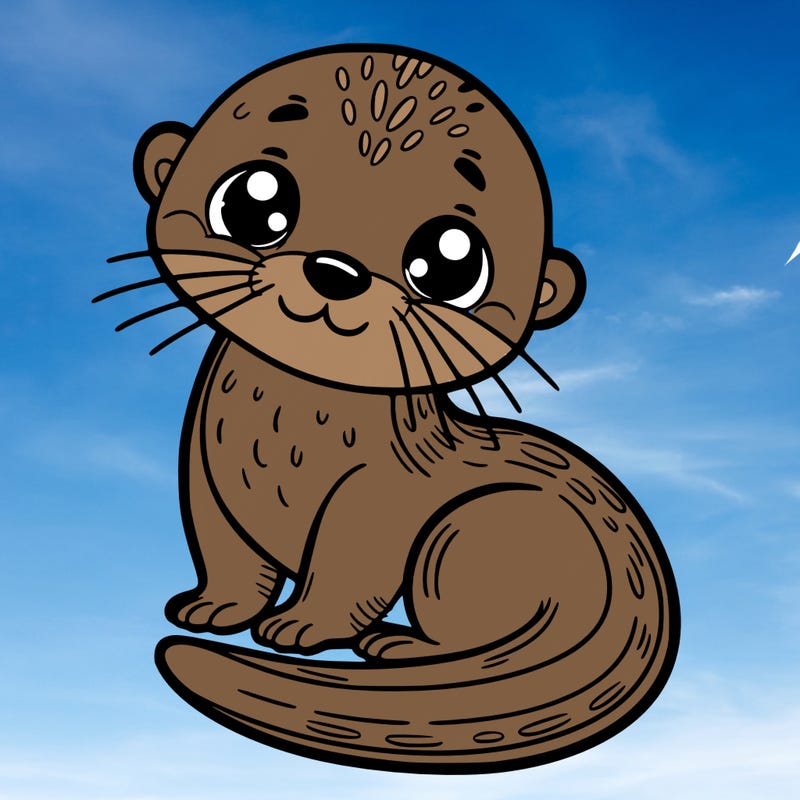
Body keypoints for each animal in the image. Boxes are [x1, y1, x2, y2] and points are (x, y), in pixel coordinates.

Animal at [104, 45, 679, 773]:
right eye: (255, 200)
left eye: (450, 262)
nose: (335, 270)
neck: (282, 435)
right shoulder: (206, 473)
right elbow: (225, 552)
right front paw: (213, 608)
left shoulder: (377, 496)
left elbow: (350, 567)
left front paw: (301, 626)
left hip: (468, 532)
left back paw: (401, 646)